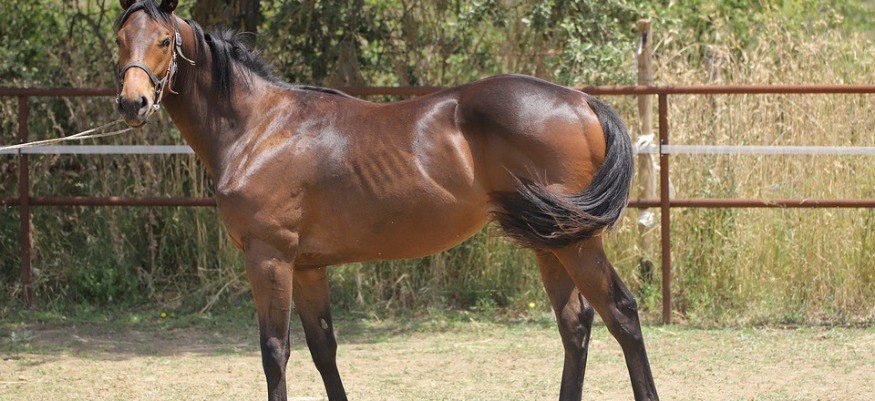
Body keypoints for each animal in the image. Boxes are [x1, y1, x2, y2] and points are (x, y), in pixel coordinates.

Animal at [114, 1, 659, 400]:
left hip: (576, 243)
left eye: (165, 41)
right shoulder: (307, 267)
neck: (260, 128)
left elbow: (274, 351)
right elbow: (323, 348)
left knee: (621, 314)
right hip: (549, 241)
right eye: (121, 39)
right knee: (576, 326)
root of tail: (580, 99)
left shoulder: (269, 258)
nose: (132, 103)